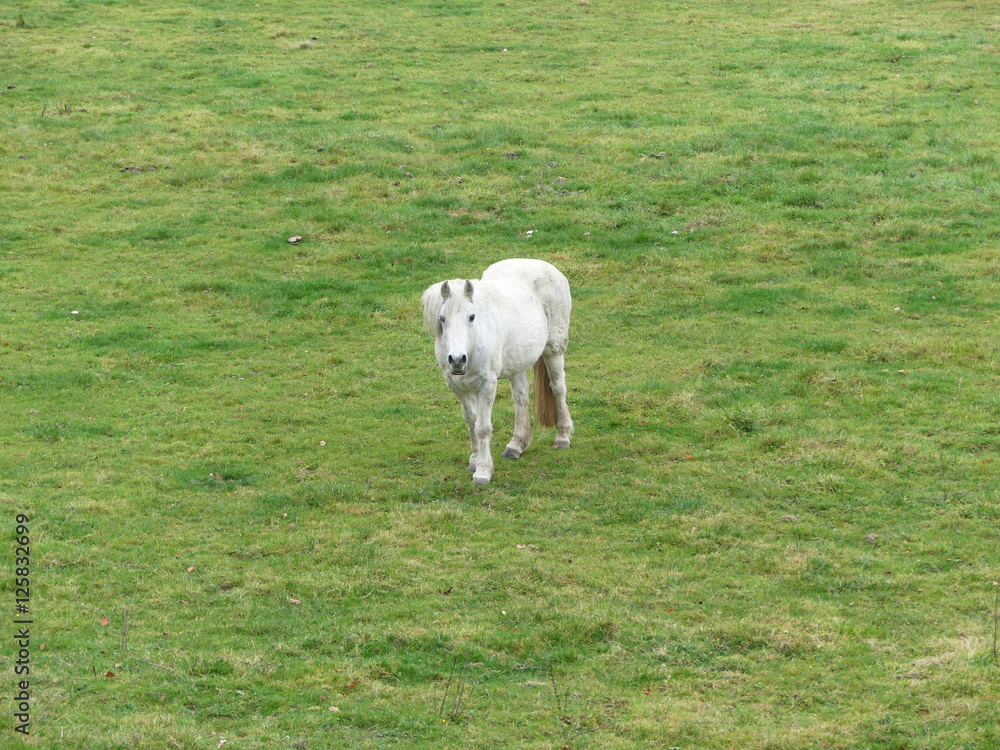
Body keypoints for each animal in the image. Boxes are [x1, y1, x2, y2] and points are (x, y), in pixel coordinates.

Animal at [421, 259, 574, 485]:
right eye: (442, 318)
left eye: (472, 317)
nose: (457, 360)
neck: (472, 345)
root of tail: (544, 265)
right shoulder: (457, 386)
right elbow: (471, 422)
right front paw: (474, 460)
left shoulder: (487, 385)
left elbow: (483, 427)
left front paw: (483, 472)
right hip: (517, 362)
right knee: (521, 398)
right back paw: (516, 445)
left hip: (553, 349)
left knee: (558, 388)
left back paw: (562, 437)